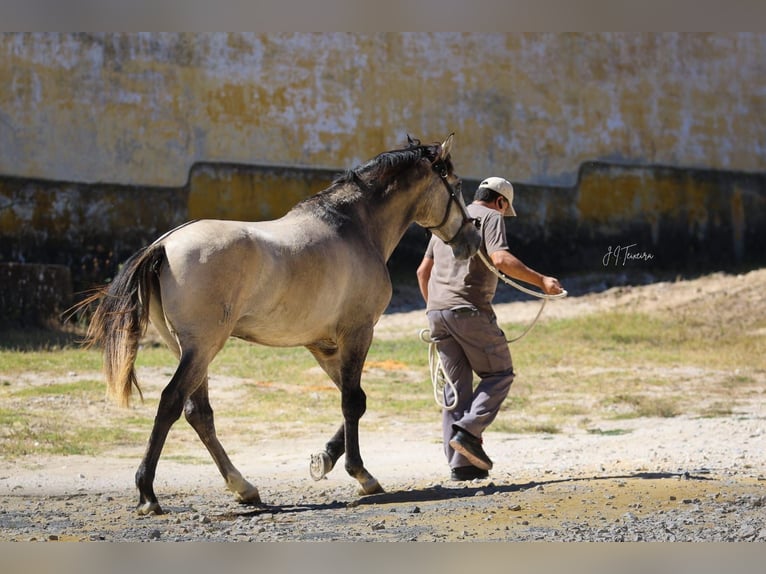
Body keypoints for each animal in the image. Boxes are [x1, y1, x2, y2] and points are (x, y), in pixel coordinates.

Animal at [81, 135, 484, 516]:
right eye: (456, 184)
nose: (471, 239)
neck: (355, 227)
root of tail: (164, 245)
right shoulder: (357, 333)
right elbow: (352, 401)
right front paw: (361, 475)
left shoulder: (323, 345)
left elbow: (355, 398)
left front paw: (324, 459)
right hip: (202, 347)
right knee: (171, 403)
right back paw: (148, 495)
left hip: (189, 349)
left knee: (199, 413)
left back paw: (243, 488)